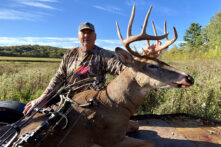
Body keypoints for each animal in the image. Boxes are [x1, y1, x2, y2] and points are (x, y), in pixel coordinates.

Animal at [6, 3, 193, 147]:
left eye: (163, 61)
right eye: (151, 65)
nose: (189, 78)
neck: (116, 104)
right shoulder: (112, 138)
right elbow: (151, 142)